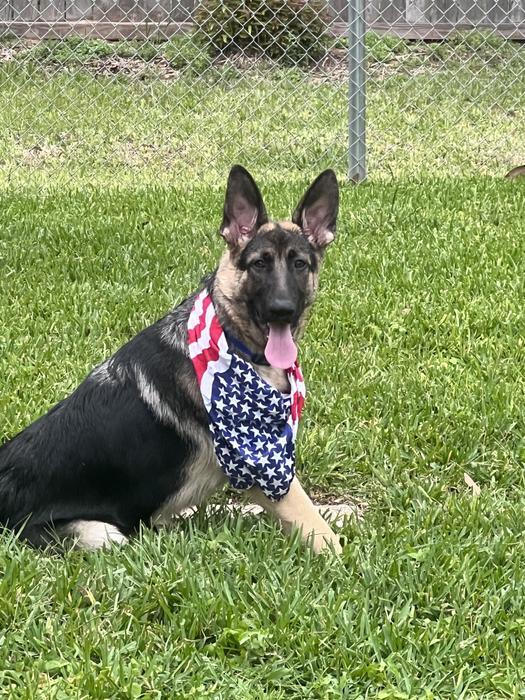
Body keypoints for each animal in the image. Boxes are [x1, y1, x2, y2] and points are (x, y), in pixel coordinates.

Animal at [0, 165, 342, 554]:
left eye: (299, 264)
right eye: (259, 265)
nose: (281, 310)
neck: (233, 338)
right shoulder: (260, 466)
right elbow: (317, 527)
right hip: (103, 534)